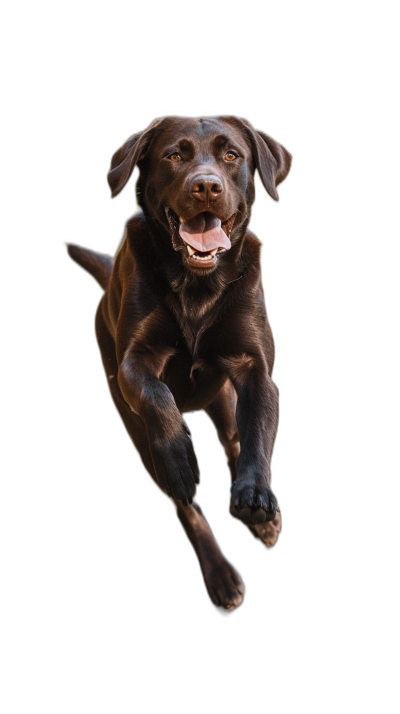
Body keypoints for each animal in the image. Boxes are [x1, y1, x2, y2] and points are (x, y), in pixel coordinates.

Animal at [65, 114, 290, 608]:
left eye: (231, 155)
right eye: (174, 156)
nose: (205, 186)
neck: (197, 286)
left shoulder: (255, 368)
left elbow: (258, 432)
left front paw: (255, 497)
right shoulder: (134, 362)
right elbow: (155, 394)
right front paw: (181, 458)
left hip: (222, 398)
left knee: (235, 439)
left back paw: (261, 518)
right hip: (133, 427)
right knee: (185, 505)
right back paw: (220, 573)